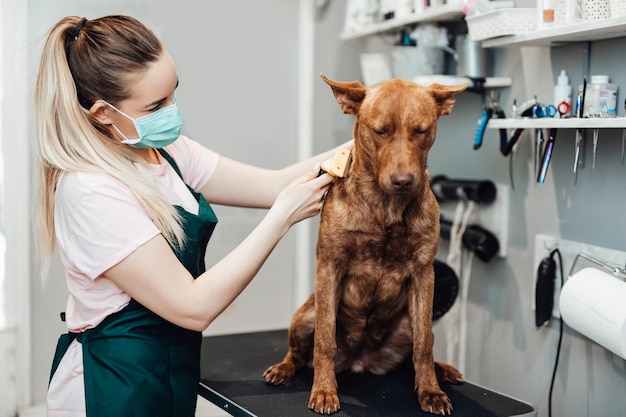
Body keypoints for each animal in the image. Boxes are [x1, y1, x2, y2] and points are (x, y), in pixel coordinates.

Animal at [260, 74, 466, 412]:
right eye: (380, 131)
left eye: (421, 130)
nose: (403, 181)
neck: (386, 209)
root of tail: (361, 362)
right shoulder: (330, 266)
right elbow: (324, 342)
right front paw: (324, 391)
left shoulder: (424, 273)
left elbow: (423, 347)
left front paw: (431, 391)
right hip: (306, 315)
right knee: (300, 353)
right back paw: (284, 368)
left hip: (408, 323)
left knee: (419, 352)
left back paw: (443, 371)